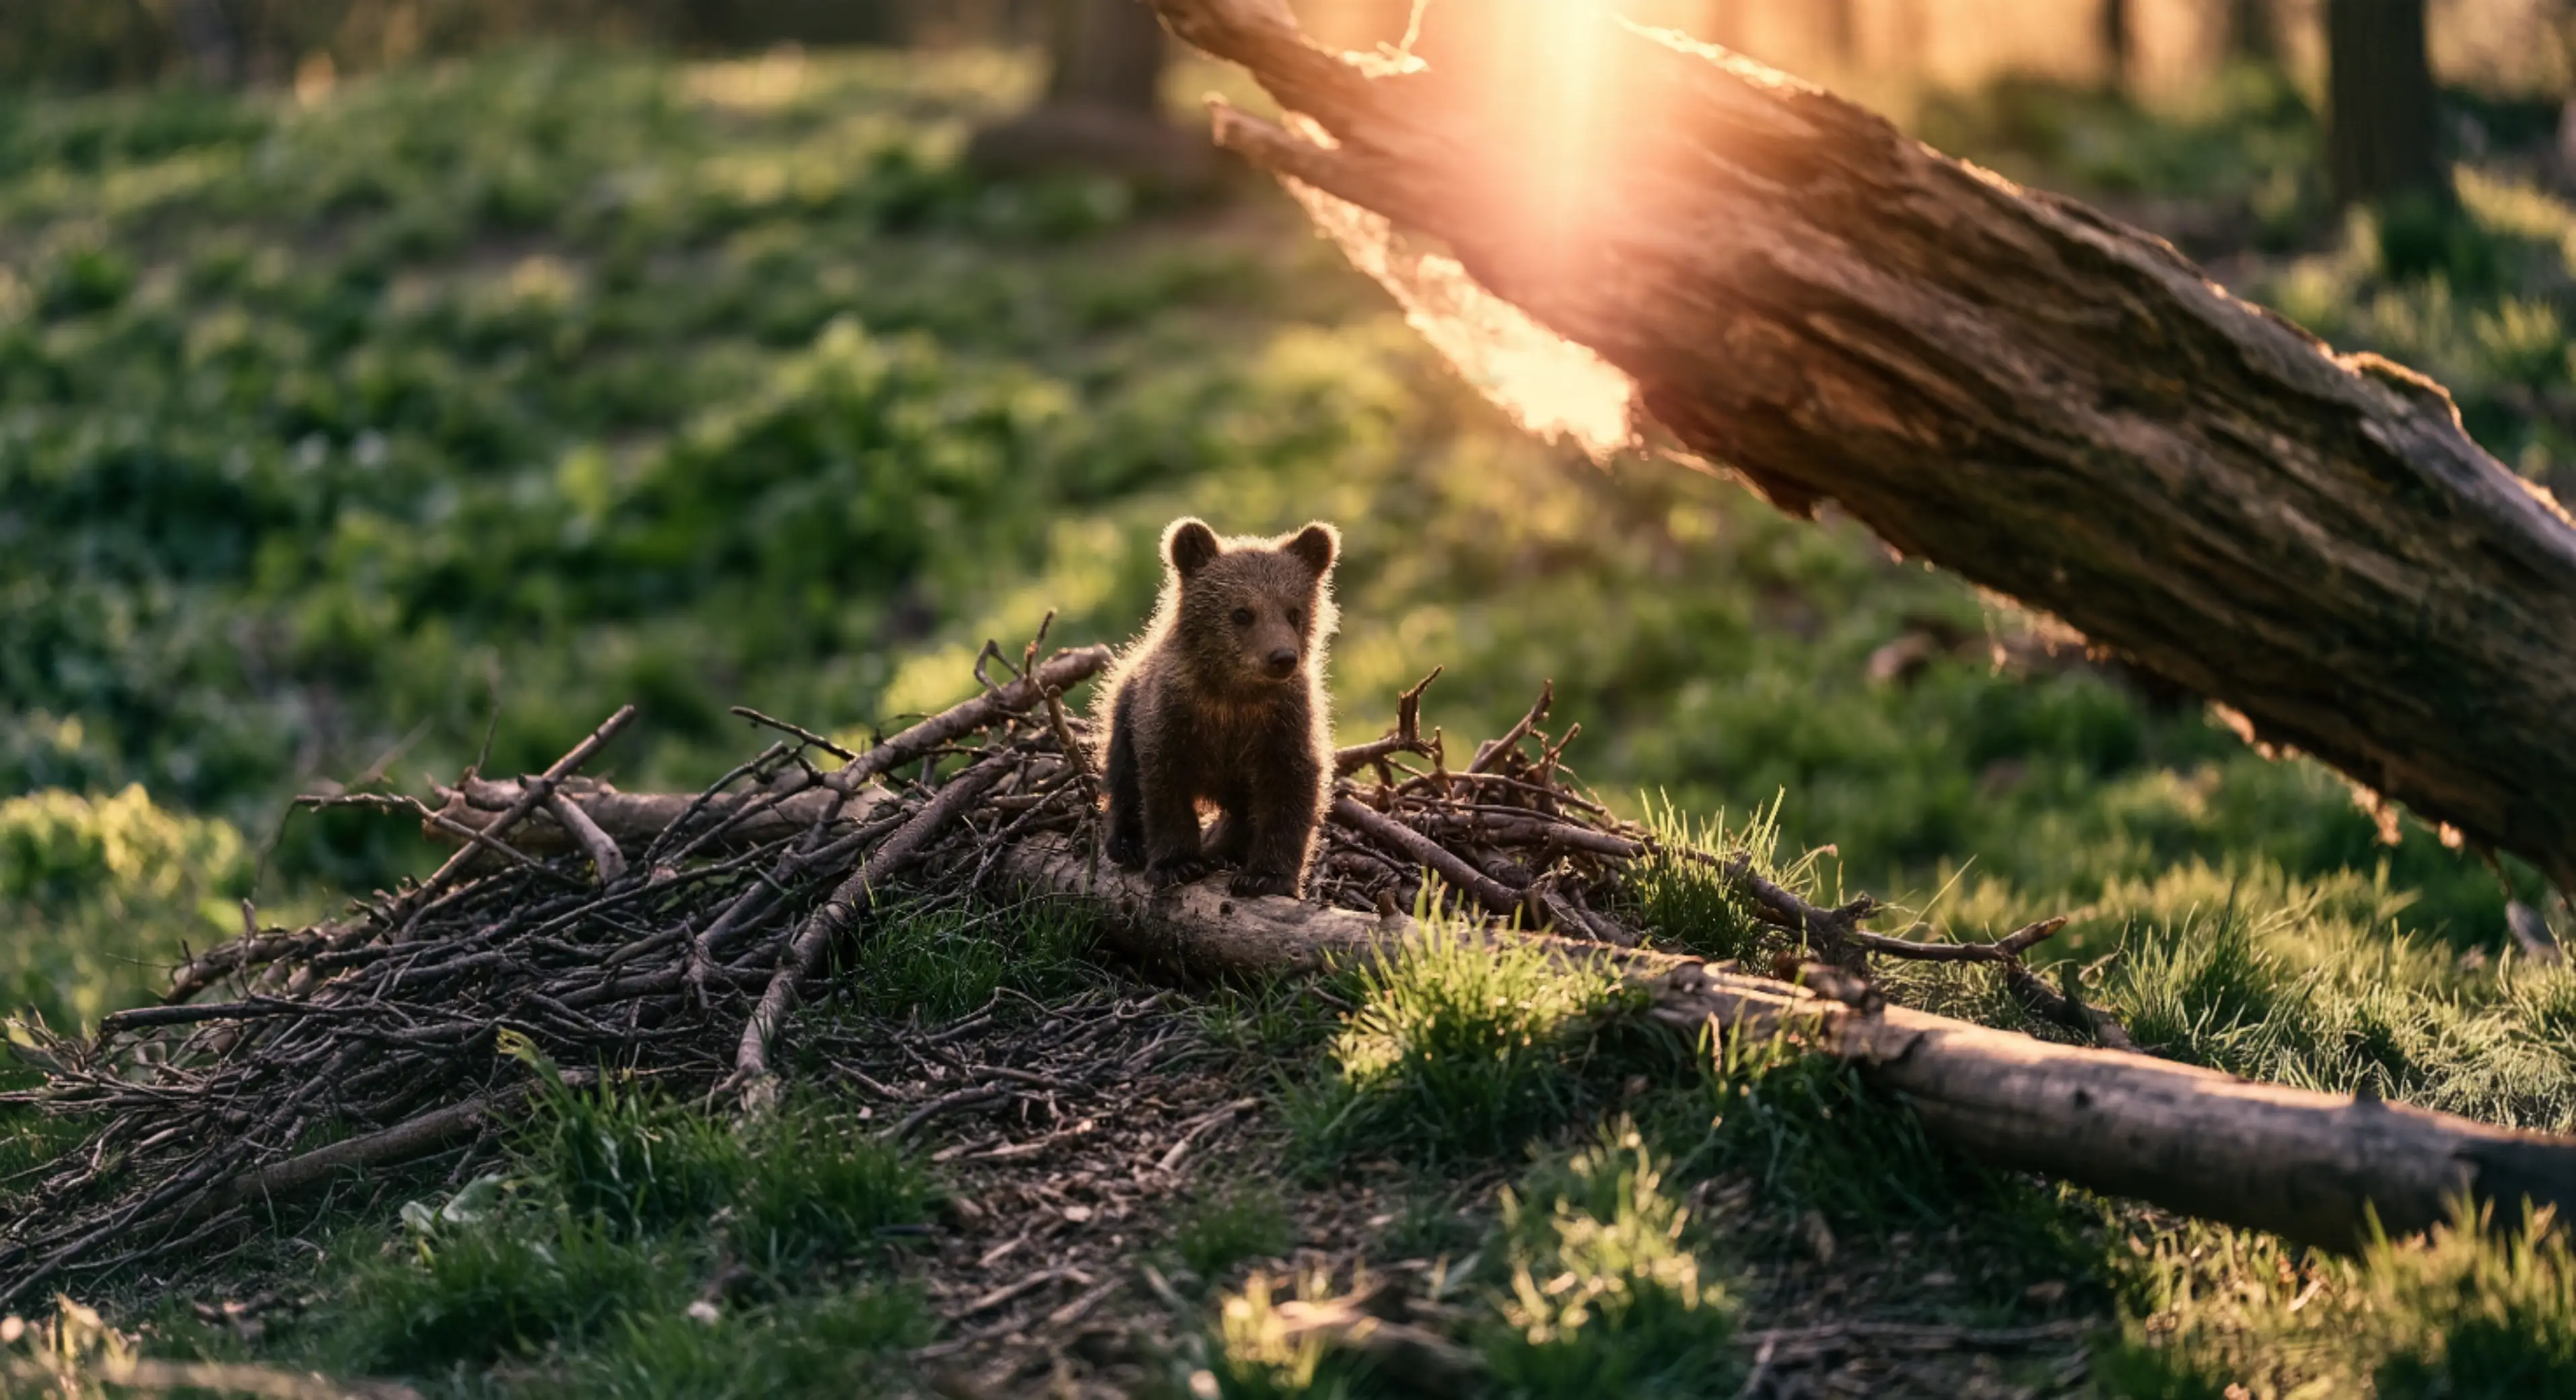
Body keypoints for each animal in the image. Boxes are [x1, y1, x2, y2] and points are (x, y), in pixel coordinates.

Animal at [1098, 516, 1339, 898]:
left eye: (1293, 612)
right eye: (1242, 613)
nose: (1283, 657)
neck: (1234, 696)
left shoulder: (1283, 722)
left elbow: (1290, 788)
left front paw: (1265, 876)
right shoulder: (1172, 715)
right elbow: (1164, 785)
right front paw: (1177, 864)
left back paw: (1225, 850)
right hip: (1124, 707)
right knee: (1122, 771)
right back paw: (1128, 842)